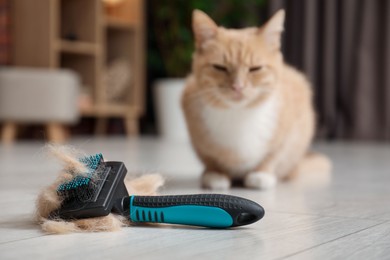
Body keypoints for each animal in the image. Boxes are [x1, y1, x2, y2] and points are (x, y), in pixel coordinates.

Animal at [181, 9, 330, 190]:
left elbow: (273, 155)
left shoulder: (290, 128)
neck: (238, 115)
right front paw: (215, 174)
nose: (237, 87)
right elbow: (209, 158)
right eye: (220, 68)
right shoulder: (197, 135)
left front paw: (262, 173)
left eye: (255, 69)